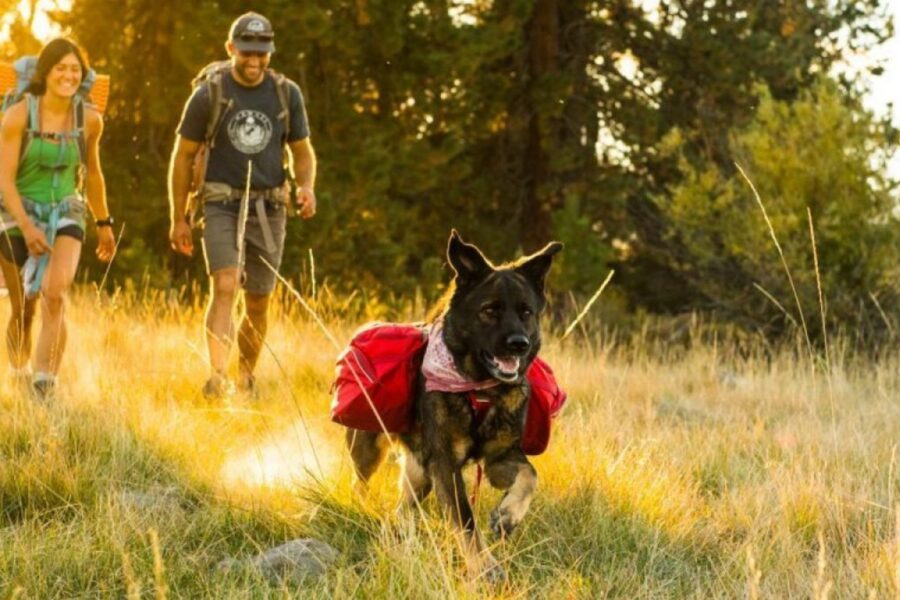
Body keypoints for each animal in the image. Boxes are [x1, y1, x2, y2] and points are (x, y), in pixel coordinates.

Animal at [344, 230, 564, 580]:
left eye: (526, 312)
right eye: (489, 311)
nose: (519, 344)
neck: (481, 391)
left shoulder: (499, 459)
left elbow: (530, 475)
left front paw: (507, 516)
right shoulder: (446, 464)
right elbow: (466, 521)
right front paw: (485, 568)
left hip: (420, 472)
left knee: (404, 508)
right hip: (369, 449)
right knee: (359, 483)